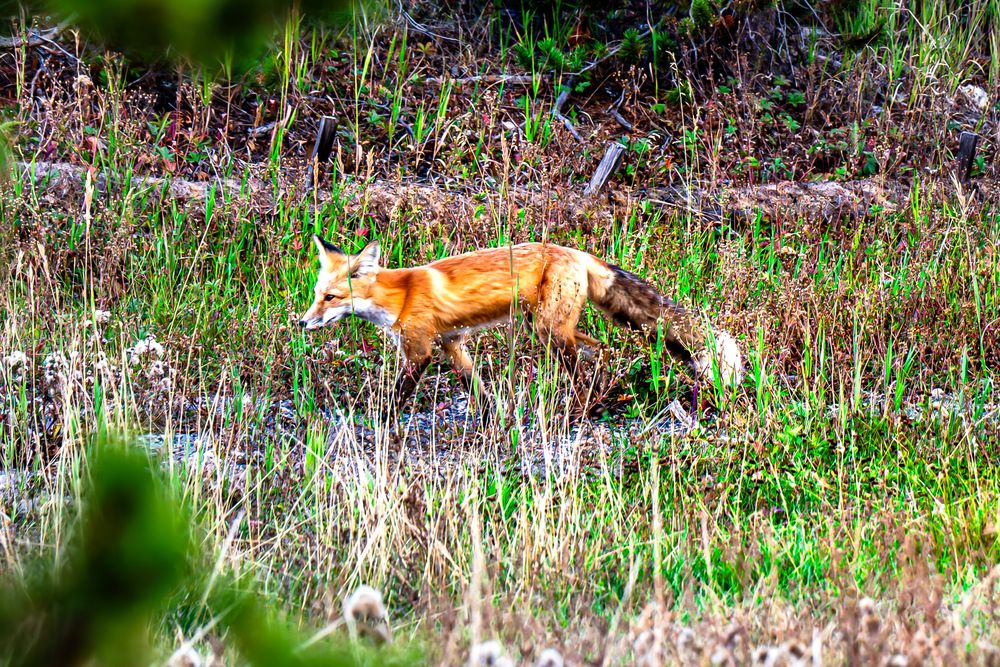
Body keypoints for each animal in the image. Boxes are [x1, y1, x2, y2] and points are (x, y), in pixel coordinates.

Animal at [299, 234, 743, 419]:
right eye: (317, 294)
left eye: (331, 298)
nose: (302, 322)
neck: (400, 295)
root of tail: (579, 252)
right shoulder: (451, 344)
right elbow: (476, 385)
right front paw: (492, 417)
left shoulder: (420, 350)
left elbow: (396, 397)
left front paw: (379, 422)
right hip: (547, 328)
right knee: (602, 348)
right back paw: (597, 399)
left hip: (550, 332)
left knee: (584, 363)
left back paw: (582, 410)